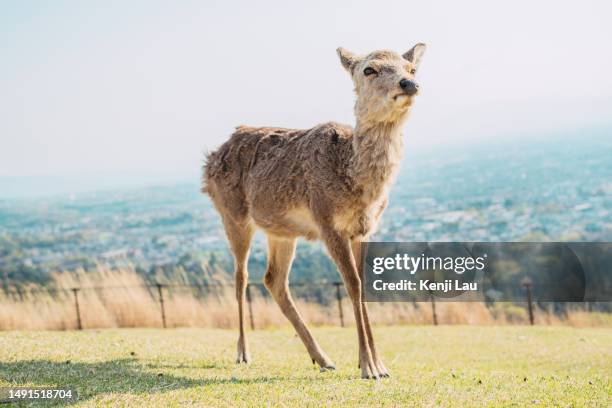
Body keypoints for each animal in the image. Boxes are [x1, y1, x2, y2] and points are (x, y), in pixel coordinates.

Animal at [201, 43, 426, 378]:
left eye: (411, 68)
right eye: (369, 69)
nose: (409, 84)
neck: (356, 181)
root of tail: (209, 162)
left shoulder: (365, 228)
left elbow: (363, 285)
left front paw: (379, 365)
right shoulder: (327, 222)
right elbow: (352, 284)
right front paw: (369, 367)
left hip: (282, 230)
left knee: (274, 279)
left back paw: (323, 358)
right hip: (232, 214)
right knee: (241, 276)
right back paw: (243, 353)